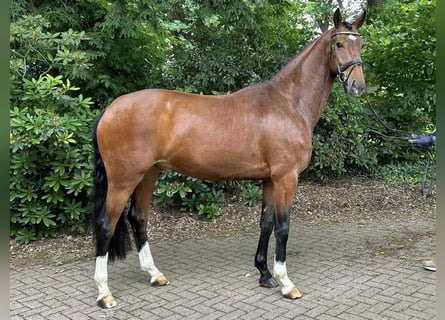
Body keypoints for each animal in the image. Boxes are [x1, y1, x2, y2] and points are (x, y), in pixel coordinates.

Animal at [92, 8, 366, 308]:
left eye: (361, 44)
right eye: (339, 44)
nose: (358, 86)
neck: (287, 104)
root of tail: (110, 109)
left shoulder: (270, 180)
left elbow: (266, 223)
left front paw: (264, 274)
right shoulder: (286, 178)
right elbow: (282, 227)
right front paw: (286, 283)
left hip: (148, 175)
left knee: (138, 218)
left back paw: (155, 274)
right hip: (123, 180)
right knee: (106, 225)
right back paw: (104, 293)